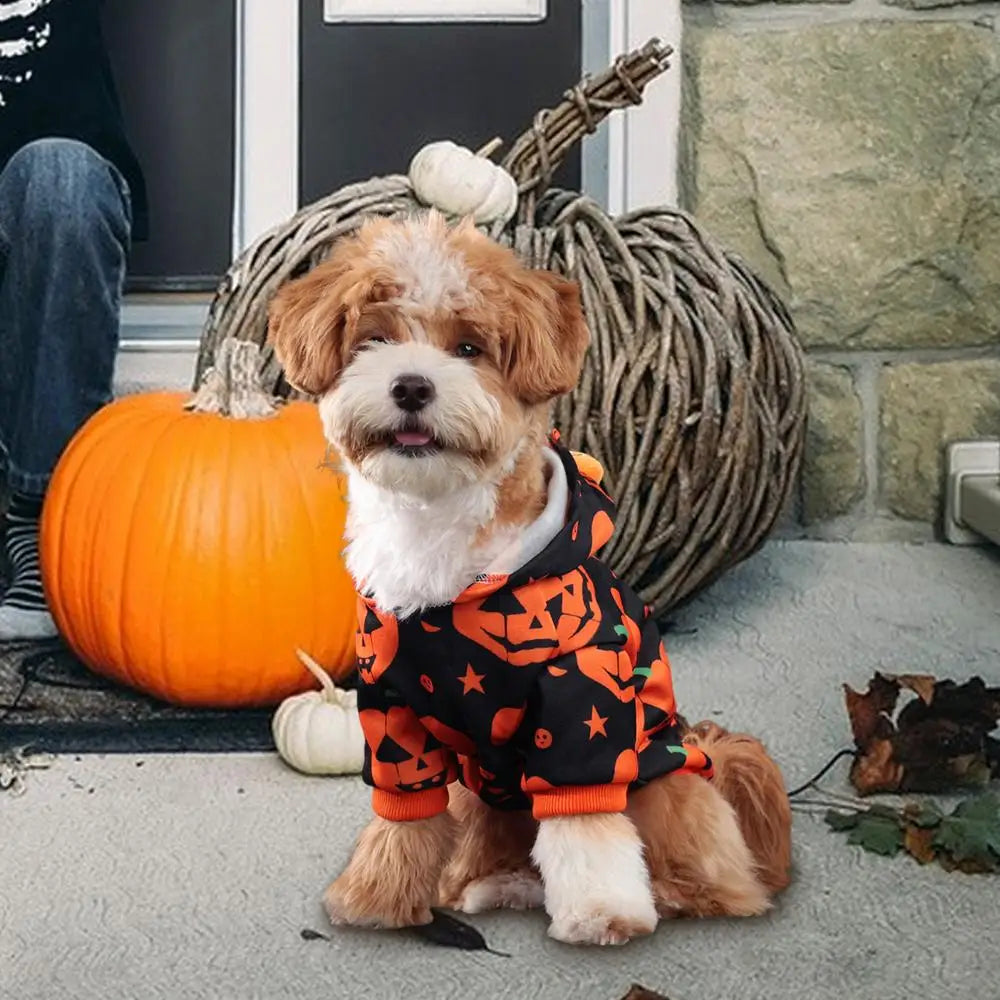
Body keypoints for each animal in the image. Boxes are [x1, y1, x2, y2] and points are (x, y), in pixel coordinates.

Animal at [270, 211, 792, 944]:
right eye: (374, 338)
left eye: (469, 347)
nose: (411, 386)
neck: (444, 539)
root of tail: (702, 751)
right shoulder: (393, 714)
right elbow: (403, 819)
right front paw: (375, 897)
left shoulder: (581, 705)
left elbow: (584, 819)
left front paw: (602, 914)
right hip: (480, 792)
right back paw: (496, 883)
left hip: (661, 781)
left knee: (716, 881)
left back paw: (673, 895)